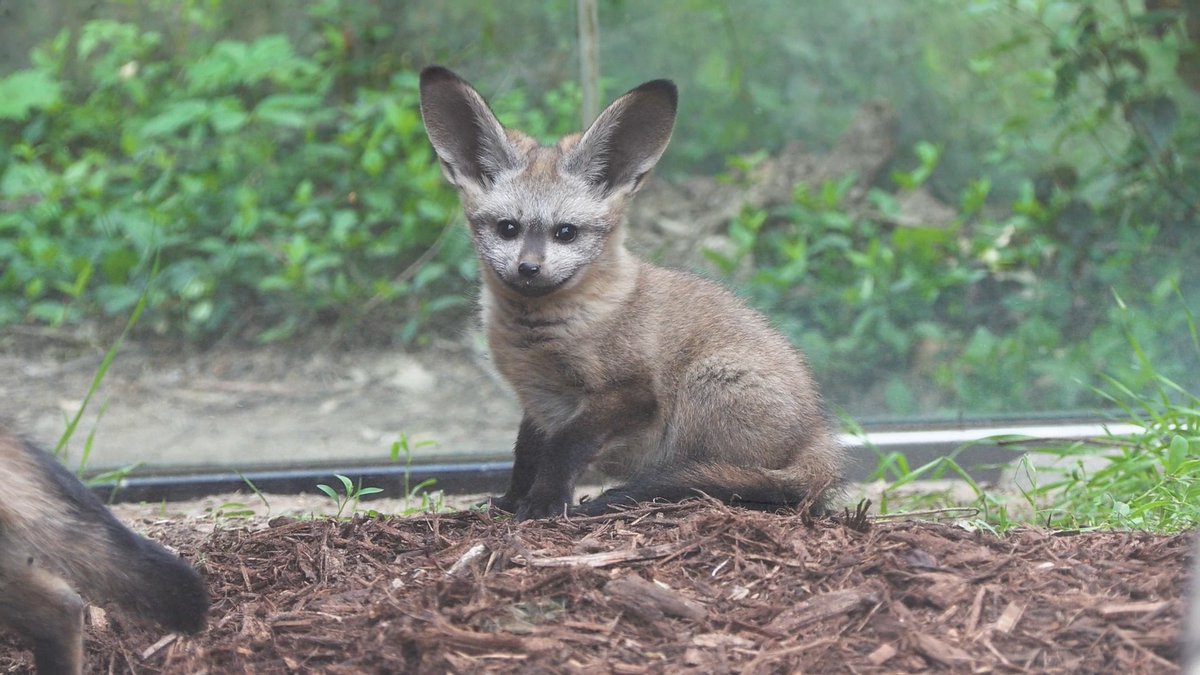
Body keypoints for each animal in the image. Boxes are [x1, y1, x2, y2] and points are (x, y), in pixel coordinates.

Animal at [419, 66, 846, 521]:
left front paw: (544, 504)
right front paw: (510, 502)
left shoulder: (629, 394)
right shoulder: (539, 405)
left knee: (730, 480)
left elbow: (563, 449)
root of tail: (818, 435)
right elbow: (526, 455)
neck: (542, 338)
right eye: (508, 228)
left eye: (565, 232)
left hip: (705, 386)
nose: (529, 269)